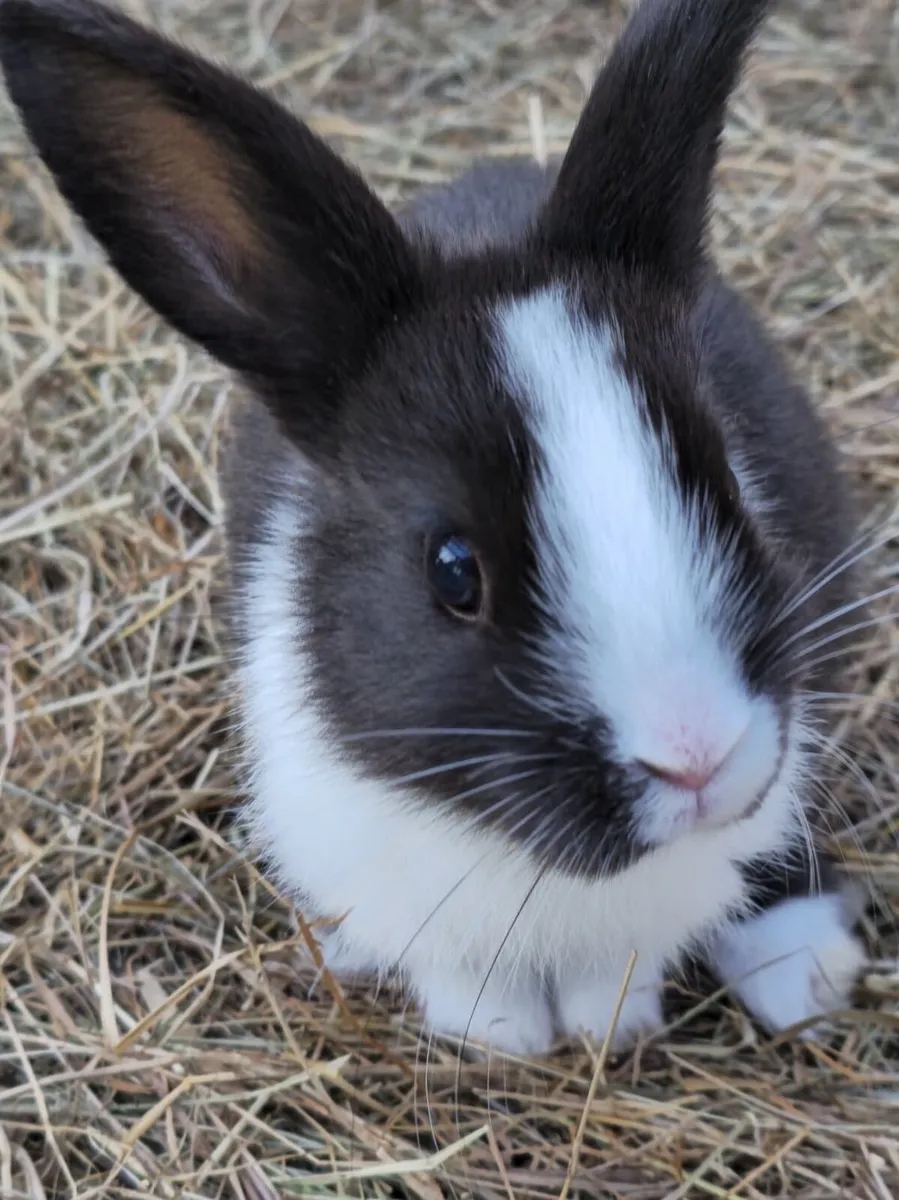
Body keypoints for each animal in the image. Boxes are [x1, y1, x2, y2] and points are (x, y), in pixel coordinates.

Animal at [0, 0, 871, 1055]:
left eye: (725, 486)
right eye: (452, 571)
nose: (695, 756)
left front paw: (608, 1025)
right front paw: (498, 1035)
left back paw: (800, 974)